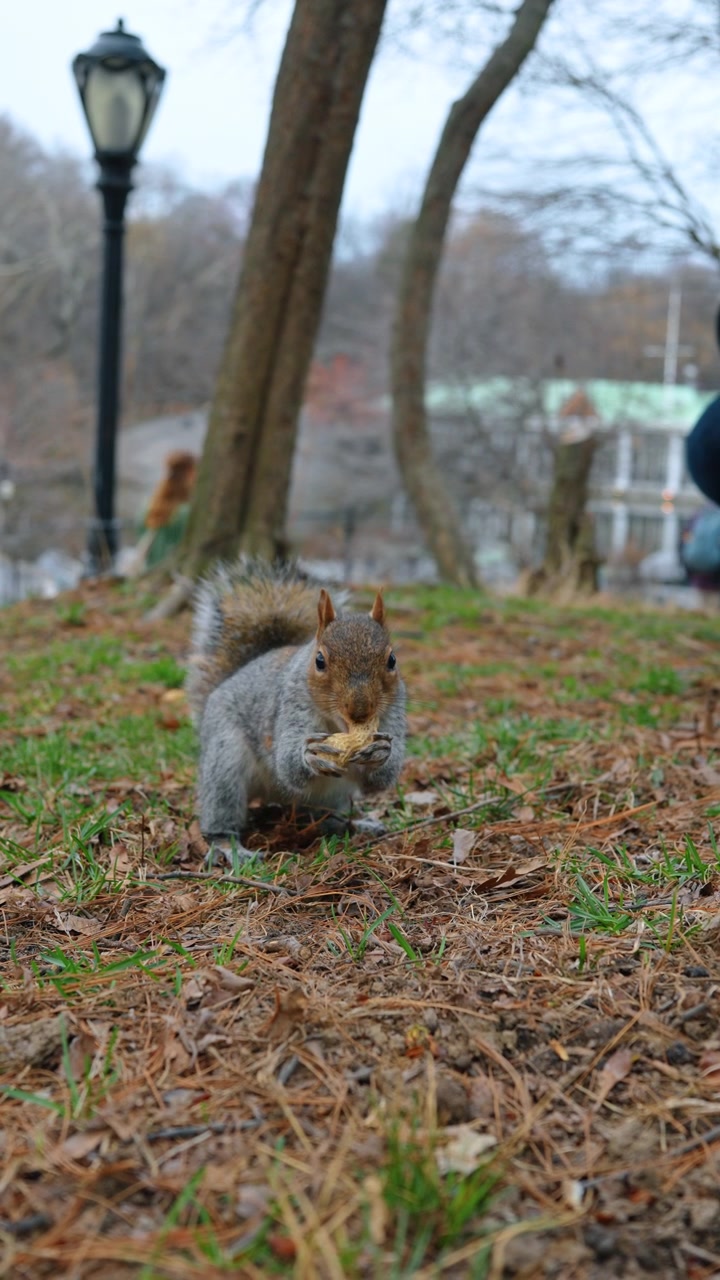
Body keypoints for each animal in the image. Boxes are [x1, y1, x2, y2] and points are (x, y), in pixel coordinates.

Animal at [186, 559, 407, 862]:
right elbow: (287, 765)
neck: (340, 726)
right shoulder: (290, 703)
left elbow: (381, 780)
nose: (360, 710)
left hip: (331, 794)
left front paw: (382, 751)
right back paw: (227, 846)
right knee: (222, 807)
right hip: (224, 761)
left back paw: (354, 825)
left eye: (392, 660)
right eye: (320, 661)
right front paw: (310, 754)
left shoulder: (395, 712)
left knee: (318, 815)